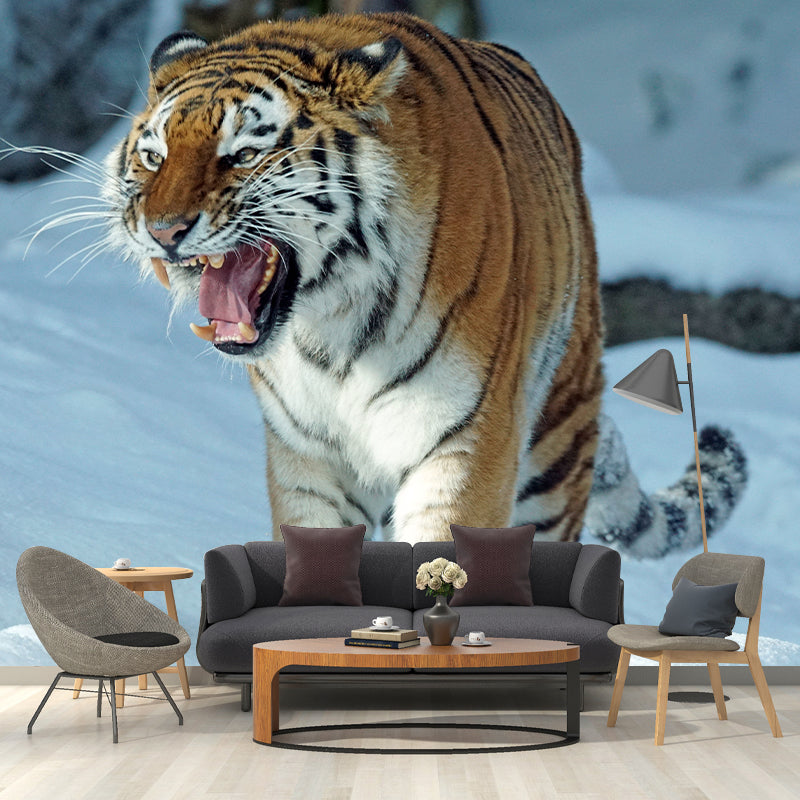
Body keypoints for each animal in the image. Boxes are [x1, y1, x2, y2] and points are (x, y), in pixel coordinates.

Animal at [103, 12, 747, 556]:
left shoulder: (466, 442)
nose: (163, 230)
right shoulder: (307, 458)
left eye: (241, 154)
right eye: (155, 157)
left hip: (556, 448)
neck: (329, 324)